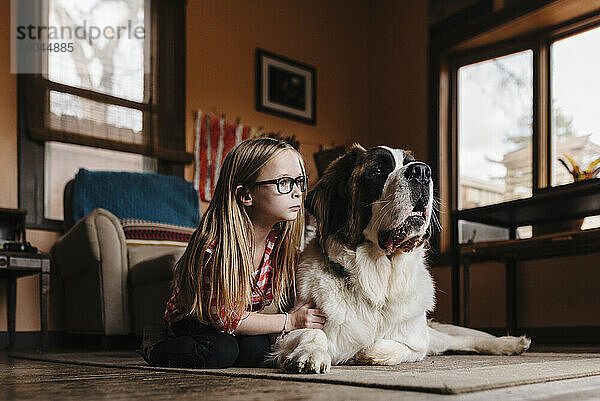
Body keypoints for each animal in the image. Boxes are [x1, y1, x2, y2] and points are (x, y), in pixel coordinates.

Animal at [272, 143, 528, 372]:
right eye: (377, 171)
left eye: (411, 164)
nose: (422, 172)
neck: (377, 278)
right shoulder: (292, 325)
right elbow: (311, 331)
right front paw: (309, 354)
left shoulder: (417, 339)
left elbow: (392, 346)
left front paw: (362, 354)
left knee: (457, 341)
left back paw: (509, 344)